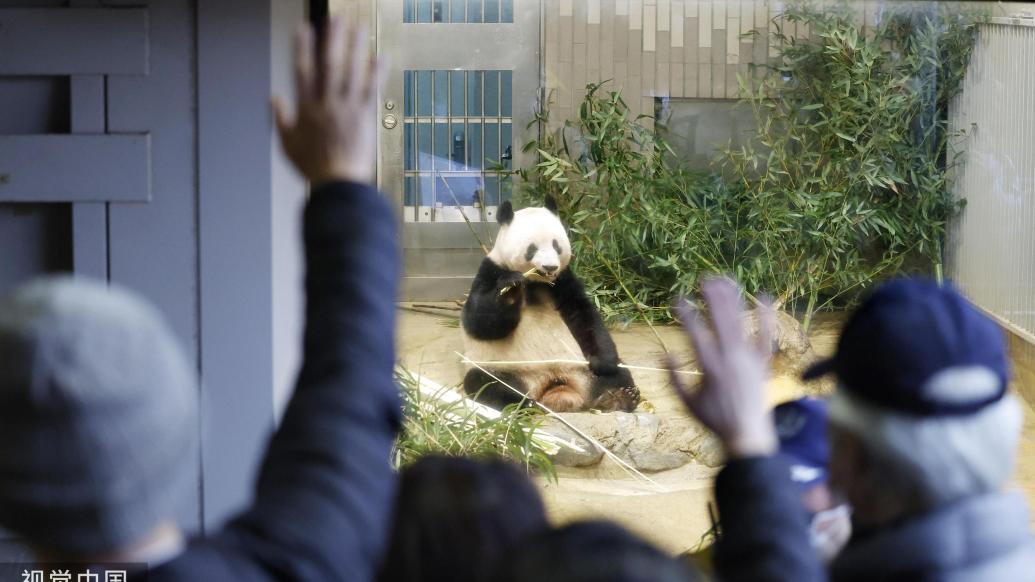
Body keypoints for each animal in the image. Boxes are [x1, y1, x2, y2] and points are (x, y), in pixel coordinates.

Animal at [461, 196, 637, 410]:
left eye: (556, 245)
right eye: (532, 248)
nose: (550, 266)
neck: (536, 282)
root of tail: (556, 386)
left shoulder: (563, 280)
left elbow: (584, 315)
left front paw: (603, 362)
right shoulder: (491, 270)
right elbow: (480, 322)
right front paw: (511, 288)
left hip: (580, 369)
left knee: (619, 373)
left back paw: (619, 397)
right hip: (506, 367)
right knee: (484, 382)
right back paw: (522, 403)